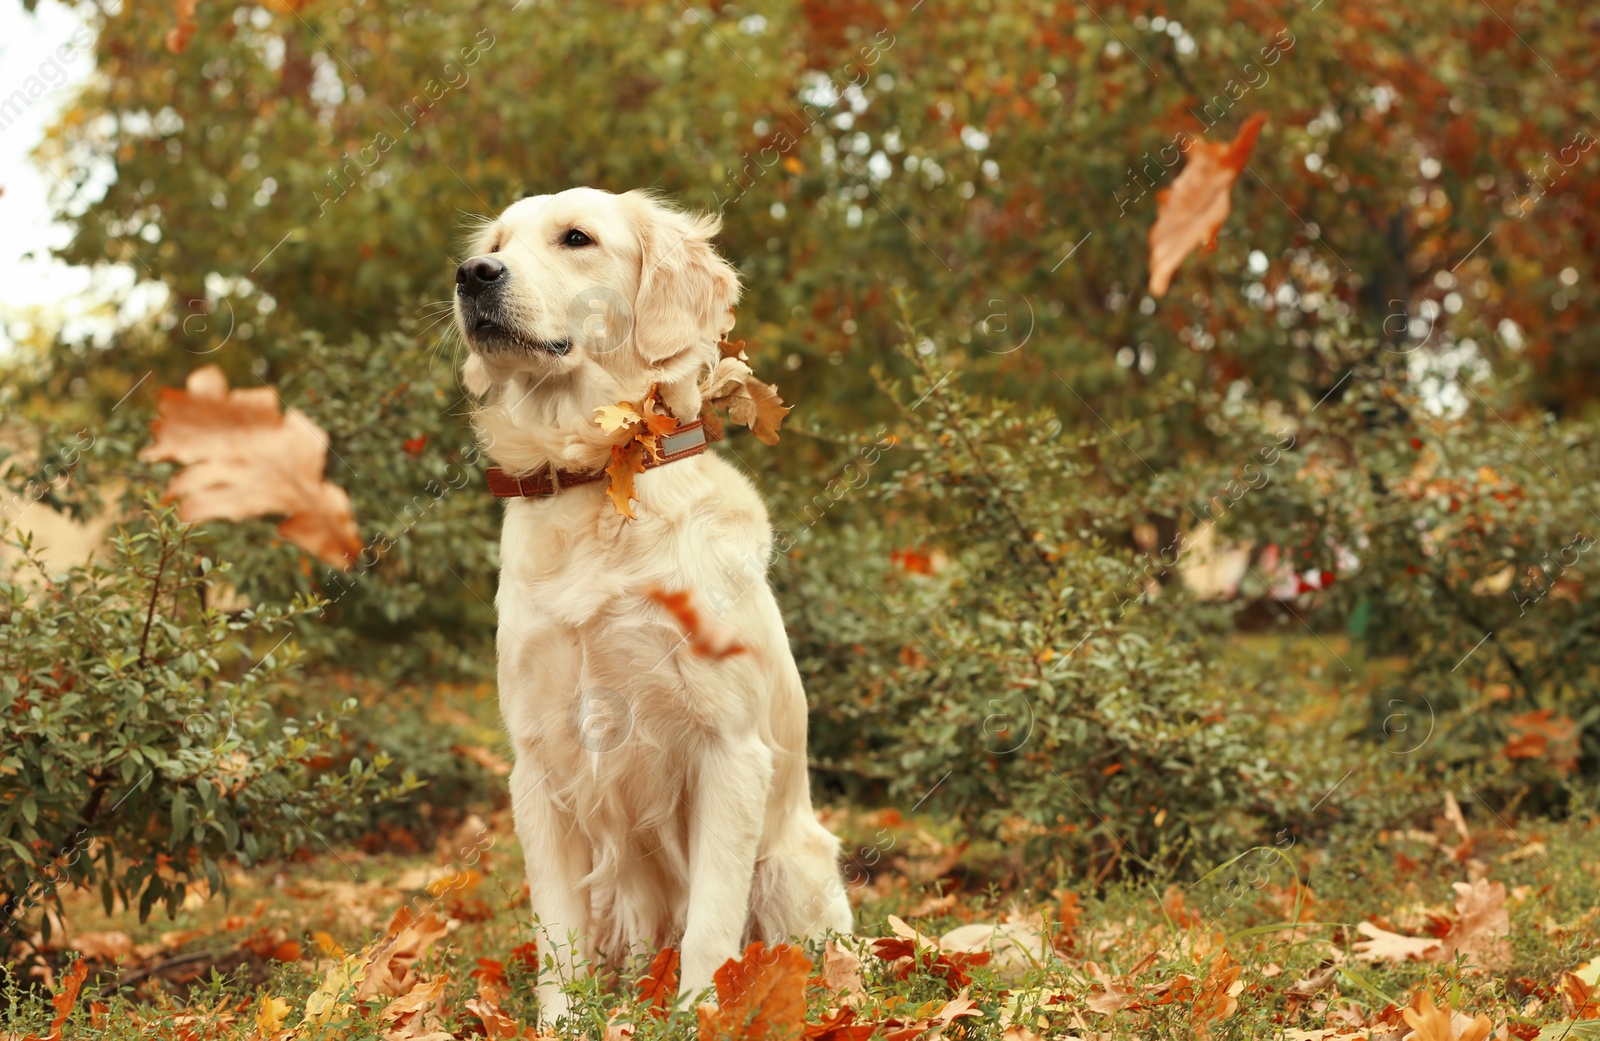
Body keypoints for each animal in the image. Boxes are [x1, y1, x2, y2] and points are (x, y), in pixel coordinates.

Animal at [454, 187, 851, 1023]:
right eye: (496, 242)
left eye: (576, 239)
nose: (473, 275)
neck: (596, 479)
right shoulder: (538, 761)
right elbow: (556, 932)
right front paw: (561, 1024)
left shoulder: (728, 747)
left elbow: (711, 921)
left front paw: (702, 1012)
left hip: (790, 868)